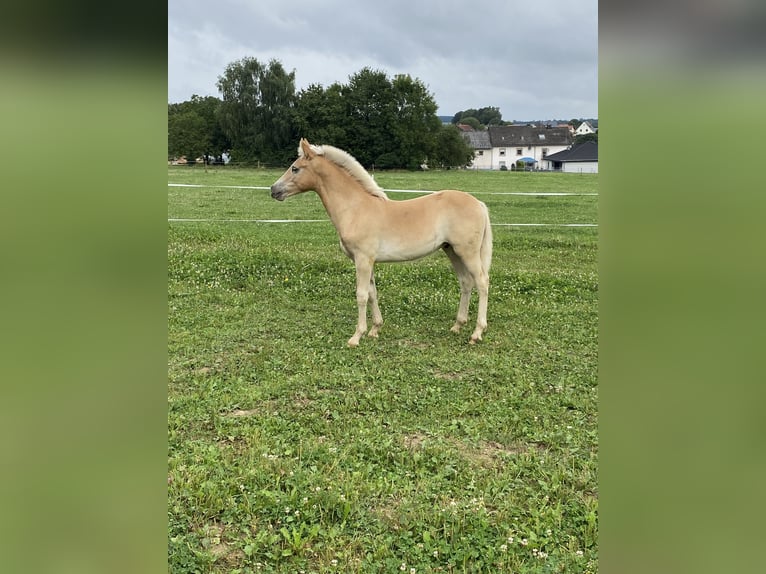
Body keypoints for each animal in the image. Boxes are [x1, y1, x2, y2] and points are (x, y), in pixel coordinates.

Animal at [272, 138, 496, 346]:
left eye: (295, 168)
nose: (273, 190)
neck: (356, 208)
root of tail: (479, 204)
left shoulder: (363, 259)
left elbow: (362, 295)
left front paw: (356, 336)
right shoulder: (367, 261)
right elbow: (373, 293)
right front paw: (375, 329)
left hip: (467, 252)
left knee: (482, 282)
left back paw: (477, 333)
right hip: (452, 251)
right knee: (466, 282)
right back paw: (457, 326)